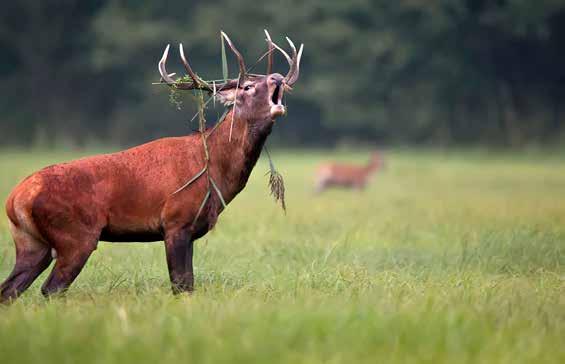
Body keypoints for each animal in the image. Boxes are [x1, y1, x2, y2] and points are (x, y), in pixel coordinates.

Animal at [1, 30, 304, 302]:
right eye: (248, 87)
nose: (278, 77)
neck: (215, 173)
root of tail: (16, 198)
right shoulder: (175, 221)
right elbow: (181, 286)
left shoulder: (190, 230)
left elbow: (189, 285)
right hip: (75, 236)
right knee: (50, 289)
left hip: (30, 242)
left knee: (9, 290)